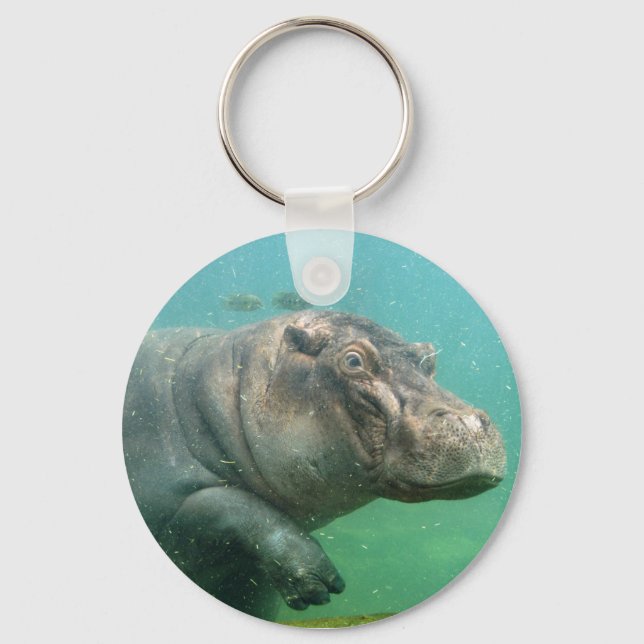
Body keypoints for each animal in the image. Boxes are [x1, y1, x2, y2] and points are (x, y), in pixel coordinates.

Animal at [123, 311, 506, 620]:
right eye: (353, 360)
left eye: (428, 359)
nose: (468, 422)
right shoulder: (162, 498)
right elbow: (231, 503)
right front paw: (319, 585)